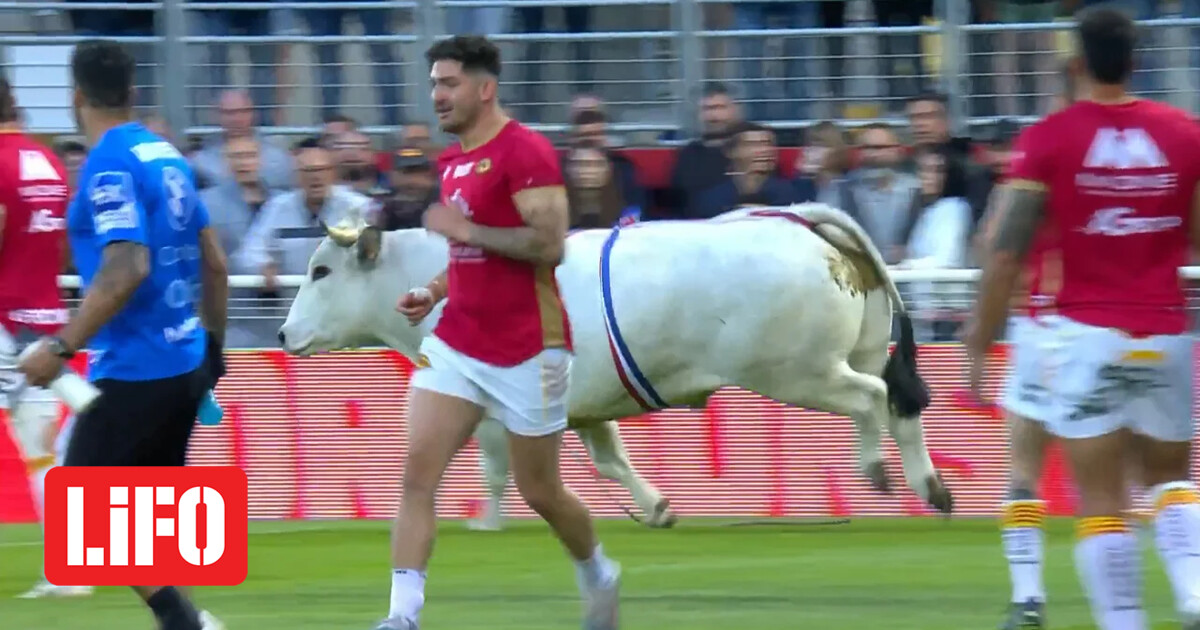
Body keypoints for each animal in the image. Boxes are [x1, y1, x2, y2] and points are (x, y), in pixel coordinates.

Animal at [278, 202, 955, 525]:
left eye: (321, 271)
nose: (284, 333)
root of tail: (801, 222)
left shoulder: (495, 411)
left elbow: (494, 471)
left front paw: (487, 526)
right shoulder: (585, 408)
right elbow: (611, 462)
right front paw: (656, 506)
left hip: (798, 372)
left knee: (874, 398)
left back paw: (879, 470)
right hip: (845, 355)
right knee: (899, 400)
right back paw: (931, 486)